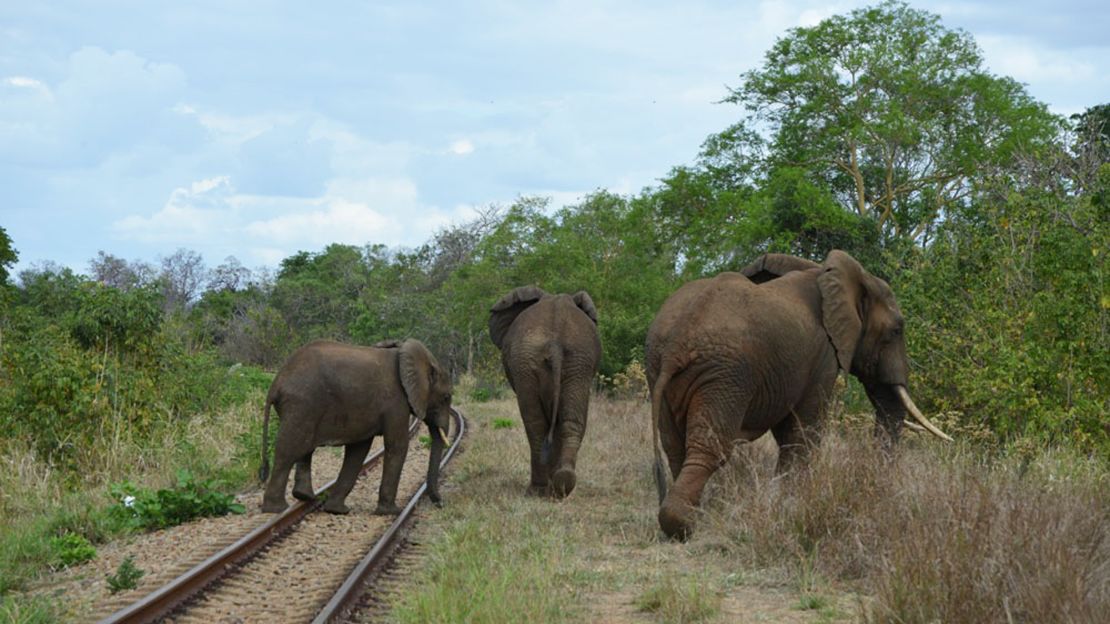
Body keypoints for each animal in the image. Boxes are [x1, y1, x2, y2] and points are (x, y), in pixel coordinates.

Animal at [257, 337, 452, 512]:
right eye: (446, 398)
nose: (440, 503)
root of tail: (276, 382)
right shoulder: (396, 402)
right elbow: (397, 446)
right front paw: (392, 512)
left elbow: (358, 450)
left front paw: (336, 510)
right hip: (302, 404)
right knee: (289, 450)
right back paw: (276, 508)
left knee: (304, 449)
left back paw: (304, 497)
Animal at [490, 286, 603, 495]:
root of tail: (555, 343)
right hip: (578, 362)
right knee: (570, 421)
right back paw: (562, 484)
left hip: (528, 364)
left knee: (535, 425)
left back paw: (538, 490)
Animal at [648, 249, 950, 537]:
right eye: (897, 330)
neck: (825, 272)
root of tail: (676, 345)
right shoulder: (824, 357)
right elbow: (801, 432)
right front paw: (790, 504)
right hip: (725, 377)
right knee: (709, 449)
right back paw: (684, 526)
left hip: (662, 368)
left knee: (674, 445)